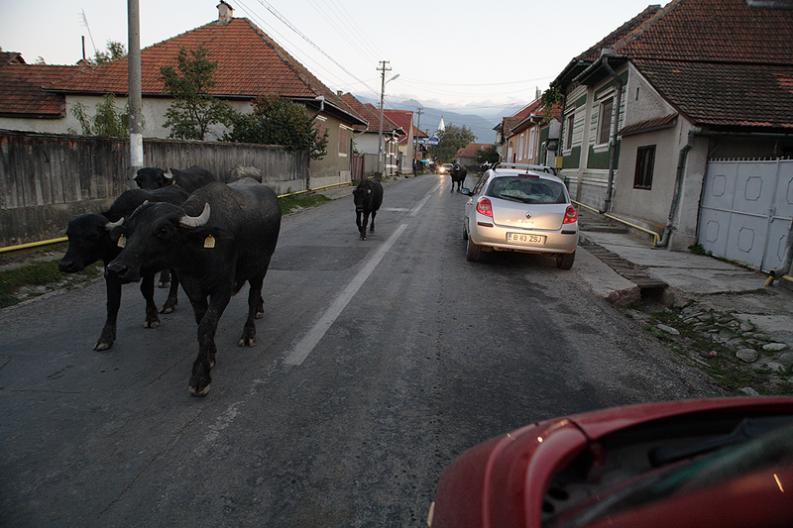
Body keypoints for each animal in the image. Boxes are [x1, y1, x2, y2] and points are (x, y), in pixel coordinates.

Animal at [59, 186, 189, 350]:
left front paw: (152, 318)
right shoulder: (111, 271)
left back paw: (169, 303)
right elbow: (112, 302)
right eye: (69, 235)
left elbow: (146, 290)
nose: (65, 264)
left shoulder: (148, 269)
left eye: (92, 236)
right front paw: (105, 338)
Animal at [106, 178, 282, 396]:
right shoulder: (192, 288)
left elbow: (207, 324)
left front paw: (201, 375)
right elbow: (202, 322)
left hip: (261, 266)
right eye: (129, 231)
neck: (198, 253)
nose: (116, 268)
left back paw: (249, 333)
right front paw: (211, 354)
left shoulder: (223, 288)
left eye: (163, 230)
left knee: (253, 295)